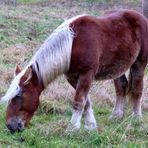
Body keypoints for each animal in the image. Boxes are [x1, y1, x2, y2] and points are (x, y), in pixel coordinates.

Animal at [0, 9, 148, 133]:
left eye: (20, 96)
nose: (11, 126)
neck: (72, 45)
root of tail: (140, 16)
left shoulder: (86, 75)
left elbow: (78, 101)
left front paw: (72, 129)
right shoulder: (72, 77)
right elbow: (86, 102)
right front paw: (90, 126)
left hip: (139, 64)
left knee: (137, 89)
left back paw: (136, 118)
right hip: (117, 68)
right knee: (121, 87)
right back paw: (116, 116)